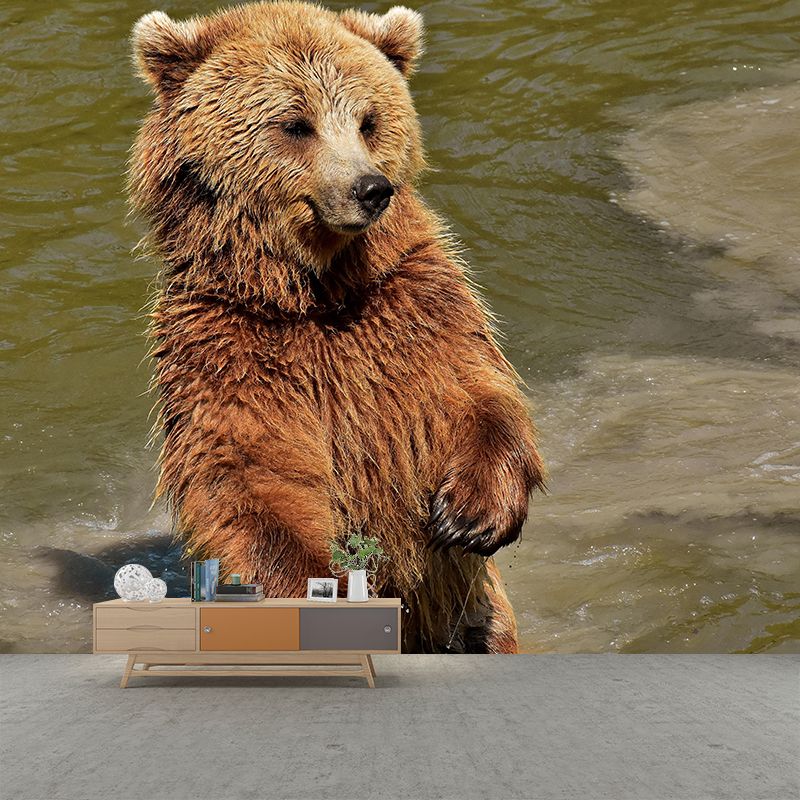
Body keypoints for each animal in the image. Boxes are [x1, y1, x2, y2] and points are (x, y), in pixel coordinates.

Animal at [128, 1, 545, 653]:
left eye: (369, 120)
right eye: (297, 124)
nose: (370, 188)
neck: (313, 295)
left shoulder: (412, 305)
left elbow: (474, 392)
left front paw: (468, 514)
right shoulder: (227, 347)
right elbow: (250, 475)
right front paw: (324, 585)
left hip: (475, 617)